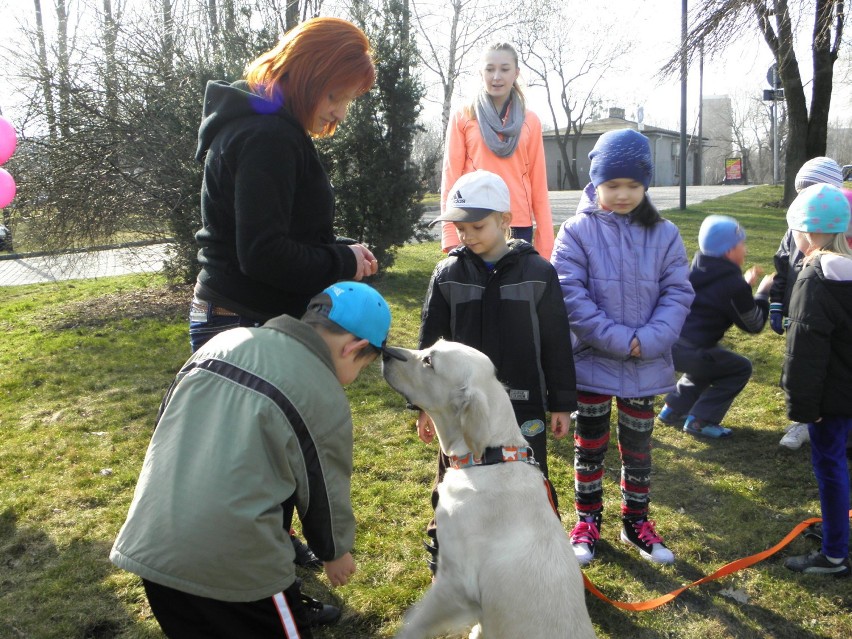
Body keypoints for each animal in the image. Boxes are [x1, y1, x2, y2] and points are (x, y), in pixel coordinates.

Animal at [382, 342, 596, 639]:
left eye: (429, 361)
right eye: (430, 347)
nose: (384, 350)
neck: (488, 458)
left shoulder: (456, 581)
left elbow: (414, 621)